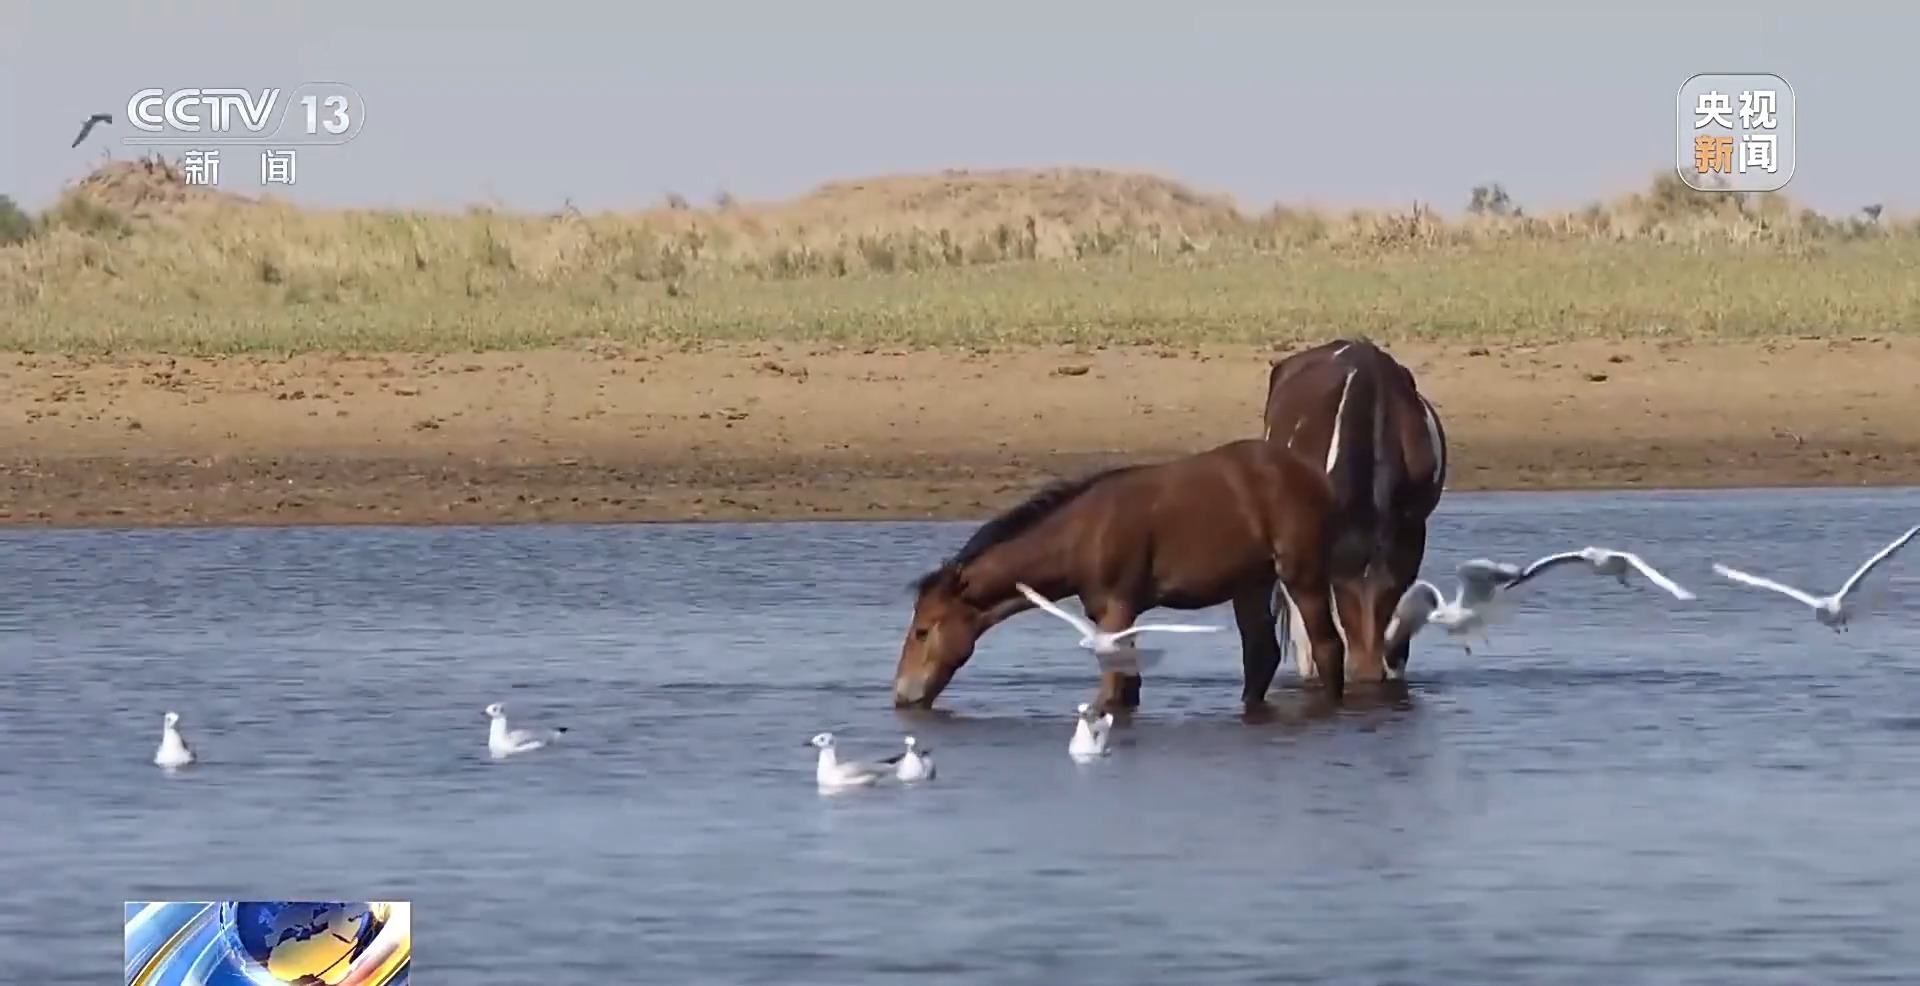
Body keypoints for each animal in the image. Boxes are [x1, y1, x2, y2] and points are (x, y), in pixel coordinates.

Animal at [892, 437, 1372, 713]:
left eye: (922, 631)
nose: (900, 695)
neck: (1080, 533)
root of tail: (1314, 476)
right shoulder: (1110, 615)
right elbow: (1128, 688)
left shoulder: (1116, 608)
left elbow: (1112, 691)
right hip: (1250, 584)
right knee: (1261, 656)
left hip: (1302, 575)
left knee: (1328, 648)